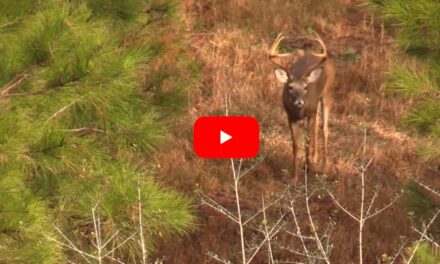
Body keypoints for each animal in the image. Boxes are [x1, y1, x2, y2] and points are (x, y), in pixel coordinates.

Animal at [268, 33, 334, 183]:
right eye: (290, 87)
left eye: (305, 87)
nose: (299, 103)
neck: (300, 112)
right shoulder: (290, 116)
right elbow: (295, 144)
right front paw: (294, 177)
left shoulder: (310, 112)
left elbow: (307, 141)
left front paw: (307, 169)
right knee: (316, 127)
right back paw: (315, 158)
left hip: (327, 93)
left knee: (324, 128)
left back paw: (325, 165)